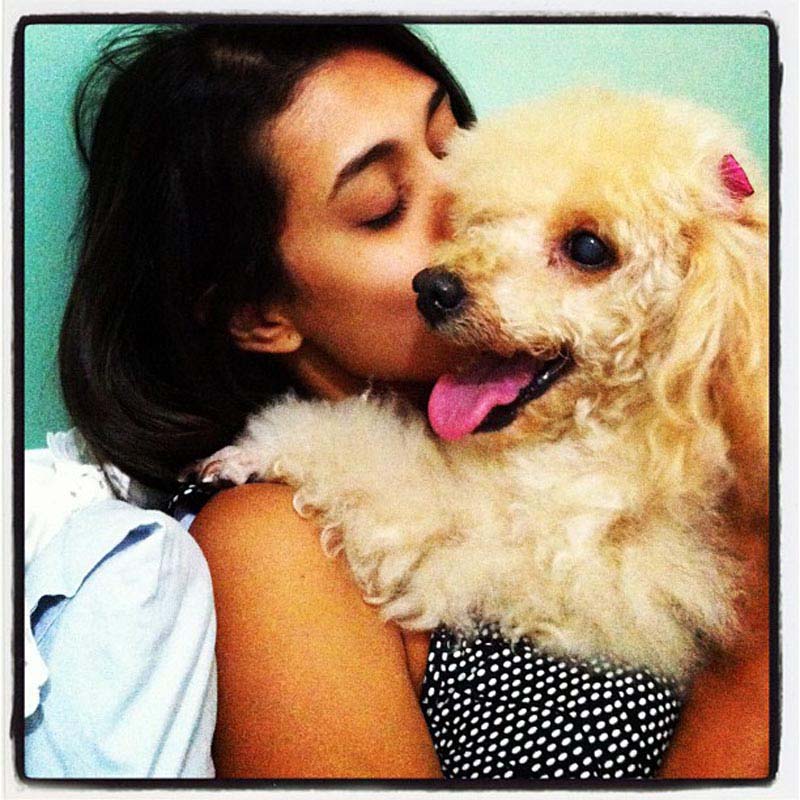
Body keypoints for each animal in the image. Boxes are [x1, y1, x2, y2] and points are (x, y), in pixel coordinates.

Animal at [187, 89, 769, 681]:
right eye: (482, 220)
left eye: (588, 248)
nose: (432, 288)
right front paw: (254, 451)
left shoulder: (566, 558)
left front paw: (257, 451)